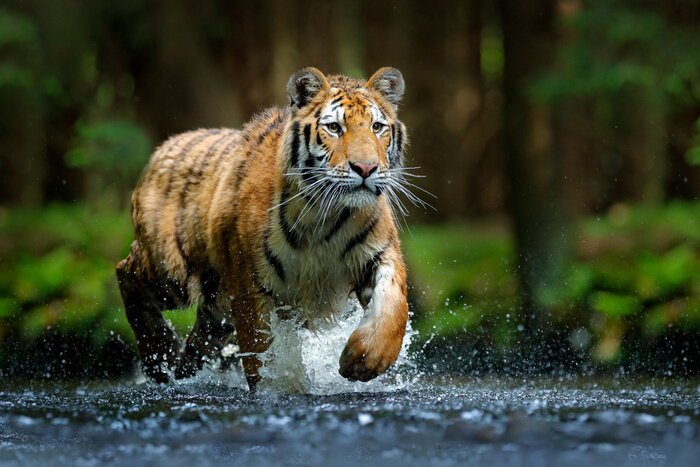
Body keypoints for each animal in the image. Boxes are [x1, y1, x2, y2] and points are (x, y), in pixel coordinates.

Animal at [116, 67, 413, 390]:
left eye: (377, 127)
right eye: (334, 127)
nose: (366, 168)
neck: (327, 216)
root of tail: (163, 148)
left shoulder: (380, 254)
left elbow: (393, 305)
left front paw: (366, 359)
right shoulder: (250, 282)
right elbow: (260, 349)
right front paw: (277, 388)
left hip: (216, 302)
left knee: (201, 340)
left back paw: (178, 368)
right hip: (173, 271)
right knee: (125, 272)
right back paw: (158, 355)